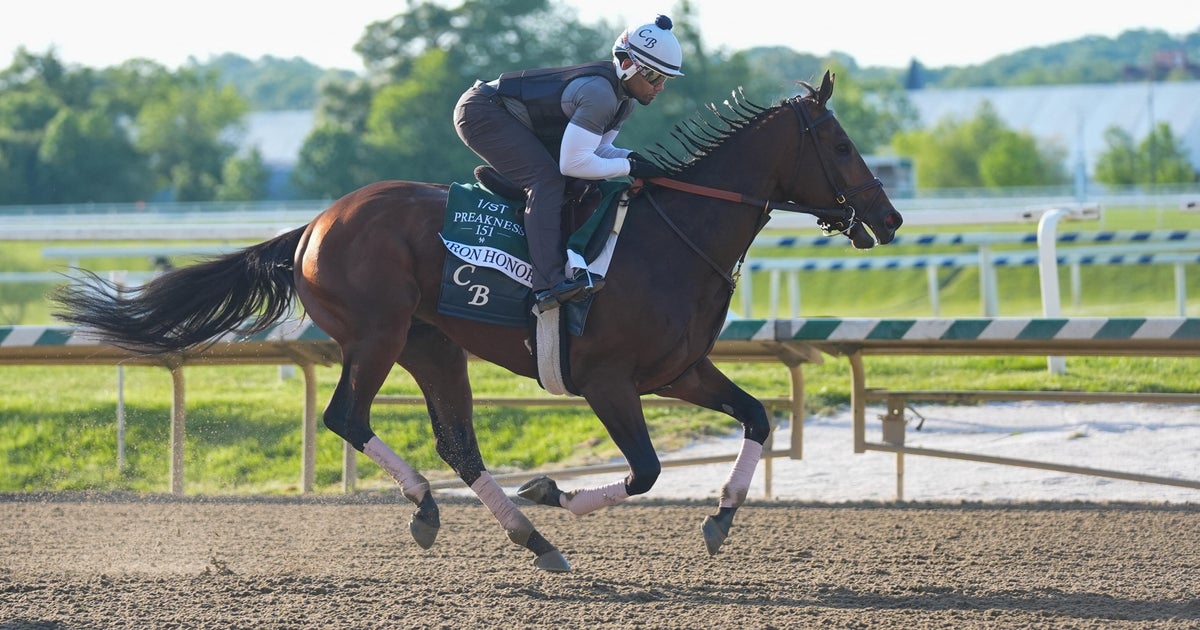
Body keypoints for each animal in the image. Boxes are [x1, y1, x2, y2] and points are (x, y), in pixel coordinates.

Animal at [52, 71, 902, 572]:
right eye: (839, 142)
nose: (890, 219)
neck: (672, 237)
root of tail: (314, 226)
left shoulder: (682, 369)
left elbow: (757, 416)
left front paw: (721, 517)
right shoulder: (608, 381)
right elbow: (646, 470)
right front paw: (555, 492)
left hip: (433, 343)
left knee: (457, 442)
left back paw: (530, 540)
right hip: (378, 335)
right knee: (346, 417)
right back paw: (448, 510)